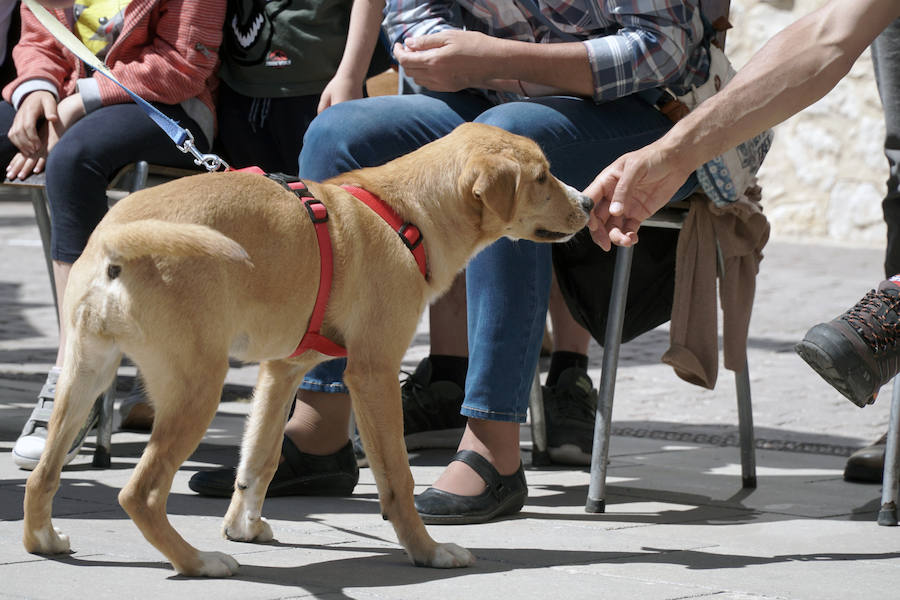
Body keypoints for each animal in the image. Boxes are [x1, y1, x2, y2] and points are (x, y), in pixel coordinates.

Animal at [22, 122, 592, 576]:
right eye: (542, 177)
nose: (588, 202)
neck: (404, 214)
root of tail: (117, 237)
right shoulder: (373, 372)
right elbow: (397, 478)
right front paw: (426, 551)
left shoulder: (282, 370)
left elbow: (261, 457)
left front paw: (244, 527)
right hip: (196, 389)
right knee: (138, 493)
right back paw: (198, 562)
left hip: (85, 375)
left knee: (44, 473)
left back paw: (43, 540)